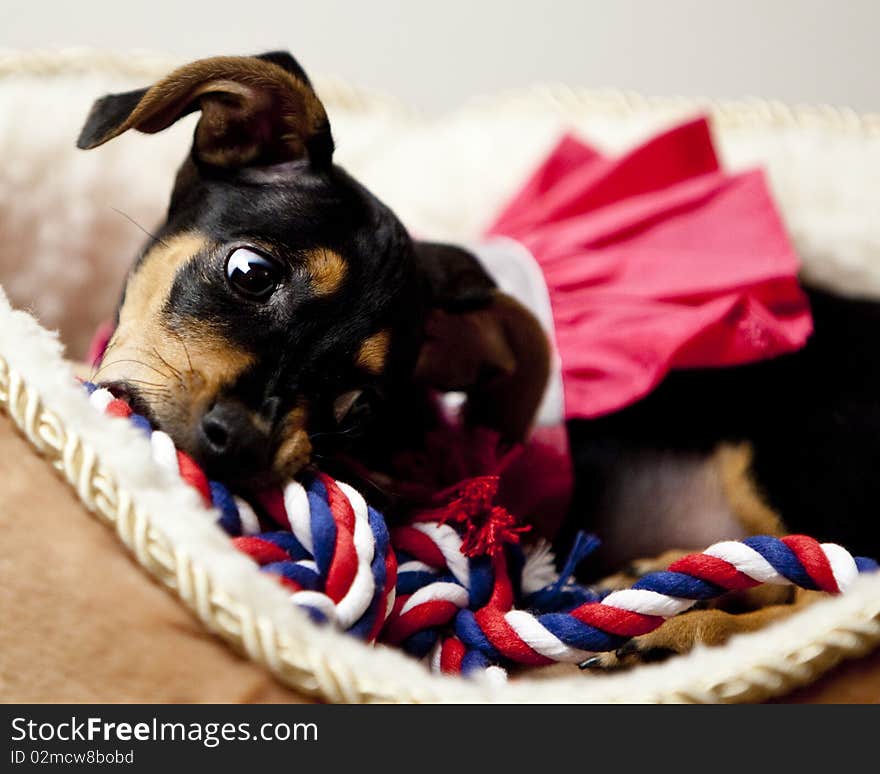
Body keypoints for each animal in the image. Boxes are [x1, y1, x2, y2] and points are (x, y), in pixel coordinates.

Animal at [81, 51, 880, 668]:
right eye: (250, 272)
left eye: (361, 407)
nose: (242, 443)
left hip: (788, 457)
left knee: (829, 591)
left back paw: (690, 630)